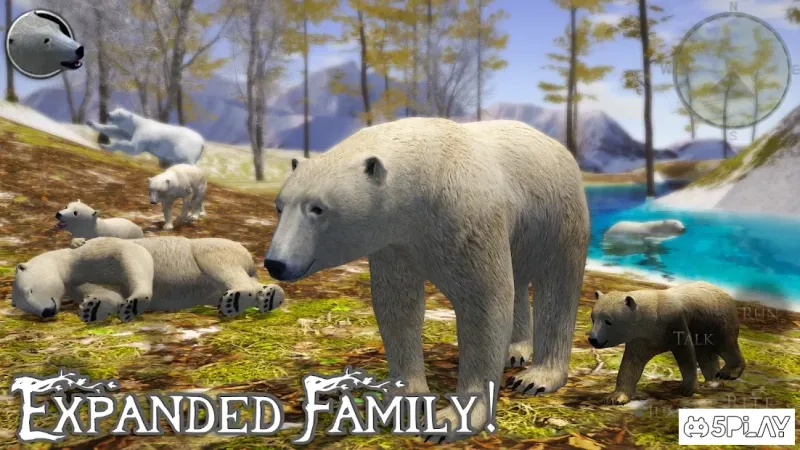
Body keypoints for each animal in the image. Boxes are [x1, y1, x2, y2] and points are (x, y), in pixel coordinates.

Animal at [11, 236, 285, 322]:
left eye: (30, 290)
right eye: (22, 305)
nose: (46, 312)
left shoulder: (92, 252)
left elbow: (132, 254)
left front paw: (133, 303)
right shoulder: (80, 283)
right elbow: (108, 294)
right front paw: (92, 308)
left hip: (213, 249)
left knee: (218, 263)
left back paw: (236, 299)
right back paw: (269, 296)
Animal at [264, 117, 590, 440]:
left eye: (317, 208)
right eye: (280, 206)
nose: (275, 263)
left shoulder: (465, 221)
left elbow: (485, 304)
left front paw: (453, 419)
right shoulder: (394, 242)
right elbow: (397, 306)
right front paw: (403, 398)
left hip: (559, 216)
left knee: (558, 288)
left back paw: (536, 377)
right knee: (519, 280)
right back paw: (515, 351)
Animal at [589, 281, 745, 406]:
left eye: (608, 321)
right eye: (593, 318)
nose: (593, 339)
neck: (650, 316)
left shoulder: (673, 324)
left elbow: (685, 353)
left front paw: (687, 389)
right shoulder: (642, 338)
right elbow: (631, 364)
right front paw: (615, 397)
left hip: (717, 320)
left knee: (725, 344)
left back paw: (728, 373)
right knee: (706, 354)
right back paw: (713, 382)